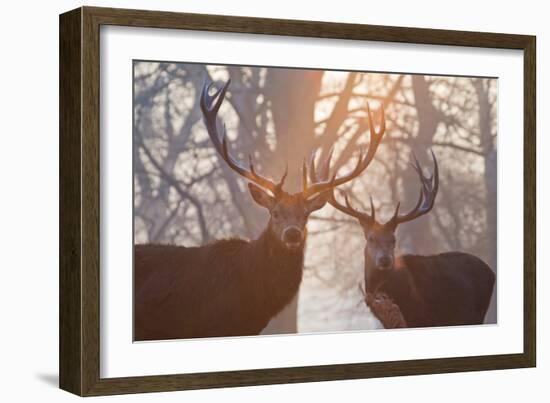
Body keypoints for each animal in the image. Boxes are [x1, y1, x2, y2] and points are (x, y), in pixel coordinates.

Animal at [312, 150, 498, 330]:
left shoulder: (424, 317)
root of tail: (491, 271)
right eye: (371, 238)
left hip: (475, 313)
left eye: (394, 239)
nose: (385, 259)